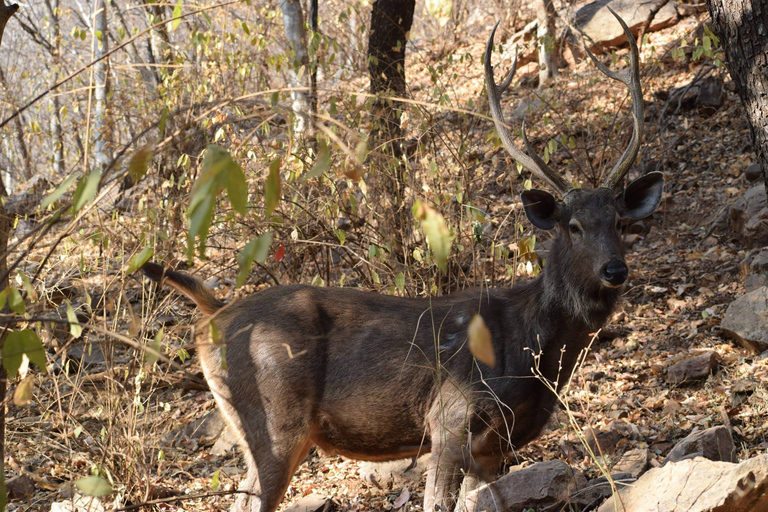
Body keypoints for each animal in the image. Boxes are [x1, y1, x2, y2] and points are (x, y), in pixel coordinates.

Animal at [141, 9, 664, 512]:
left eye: (619, 221)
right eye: (572, 226)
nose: (614, 270)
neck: (532, 348)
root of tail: (213, 313)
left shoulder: (495, 447)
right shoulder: (450, 416)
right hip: (273, 418)